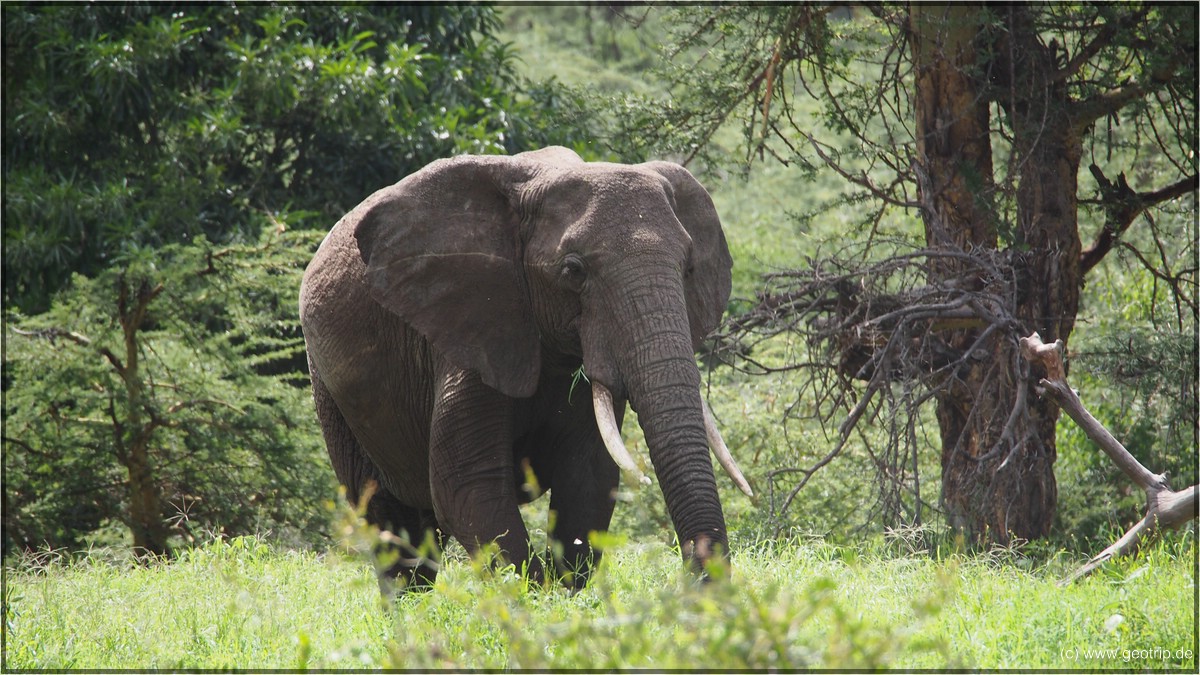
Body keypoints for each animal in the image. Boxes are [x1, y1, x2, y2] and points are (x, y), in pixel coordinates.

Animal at [297, 145, 748, 588]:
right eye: (574, 270)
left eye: (688, 268)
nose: (697, 579)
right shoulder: (472, 321)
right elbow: (468, 485)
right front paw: (533, 597)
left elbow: (589, 478)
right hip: (331, 391)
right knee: (391, 524)